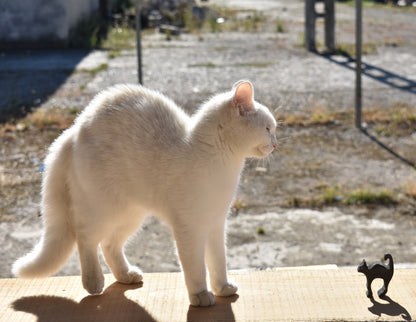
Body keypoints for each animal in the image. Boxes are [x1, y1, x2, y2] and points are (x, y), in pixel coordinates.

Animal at [13, 80, 278, 306]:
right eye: (268, 129)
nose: (275, 144)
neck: (222, 163)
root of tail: (75, 129)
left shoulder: (215, 224)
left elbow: (218, 262)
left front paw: (222, 288)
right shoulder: (190, 229)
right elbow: (196, 268)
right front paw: (201, 295)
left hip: (131, 214)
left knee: (109, 245)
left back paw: (126, 275)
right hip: (103, 209)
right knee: (86, 238)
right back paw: (93, 282)